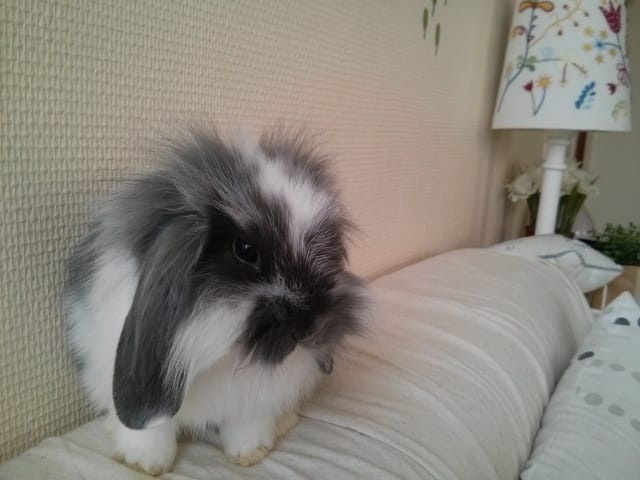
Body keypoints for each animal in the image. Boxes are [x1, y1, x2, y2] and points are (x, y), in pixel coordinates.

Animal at [63, 128, 367, 475]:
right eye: (245, 250)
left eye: (329, 255)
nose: (310, 329)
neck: (223, 348)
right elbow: (151, 434)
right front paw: (144, 464)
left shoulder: (257, 399)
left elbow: (248, 427)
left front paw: (250, 454)